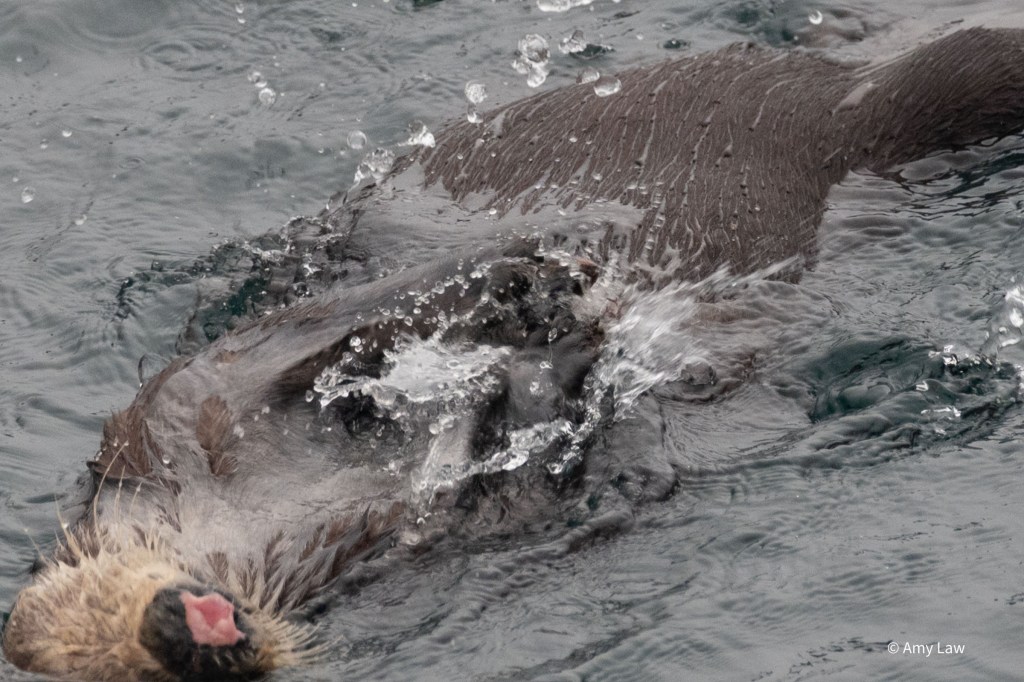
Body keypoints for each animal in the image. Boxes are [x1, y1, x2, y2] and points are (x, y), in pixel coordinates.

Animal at [6, 27, 1024, 681]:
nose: (206, 633)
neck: (261, 521)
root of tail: (849, 89)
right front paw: (540, 373)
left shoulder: (197, 412)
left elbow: (329, 334)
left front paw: (519, 290)